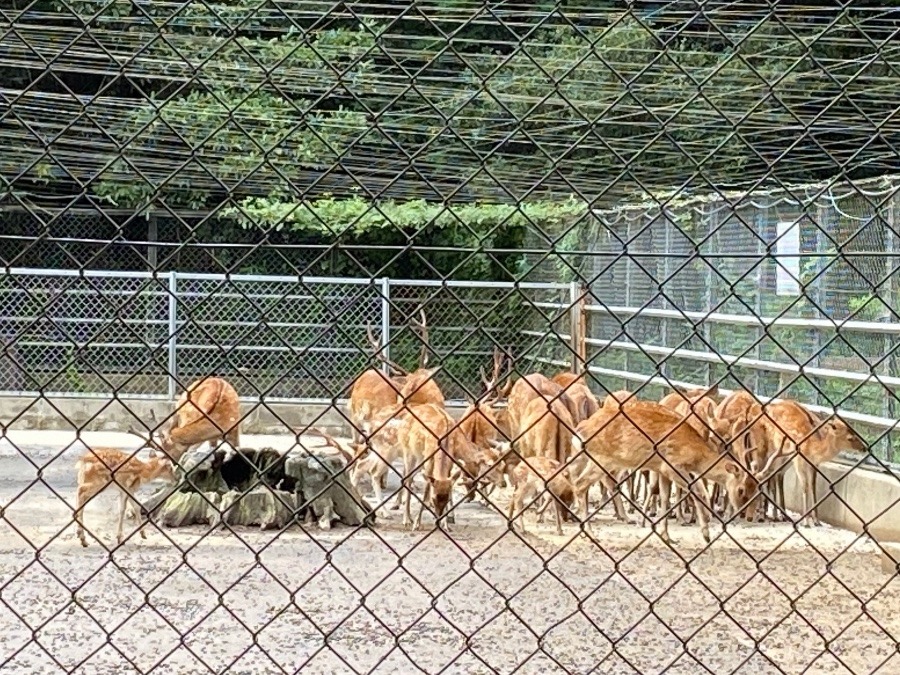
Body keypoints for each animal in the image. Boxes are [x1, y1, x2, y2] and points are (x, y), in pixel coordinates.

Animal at [572, 402, 792, 544]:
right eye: (741, 490)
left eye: (757, 491)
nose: (747, 516)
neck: (694, 453)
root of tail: (582, 428)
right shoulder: (673, 465)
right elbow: (698, 491)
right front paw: (706, 534)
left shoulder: (661, 470)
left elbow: (663, 497)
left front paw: (666, 536)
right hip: (602, 457)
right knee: (580, 484)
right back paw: (589, 532)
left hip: (589, 457)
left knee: (575, 476)